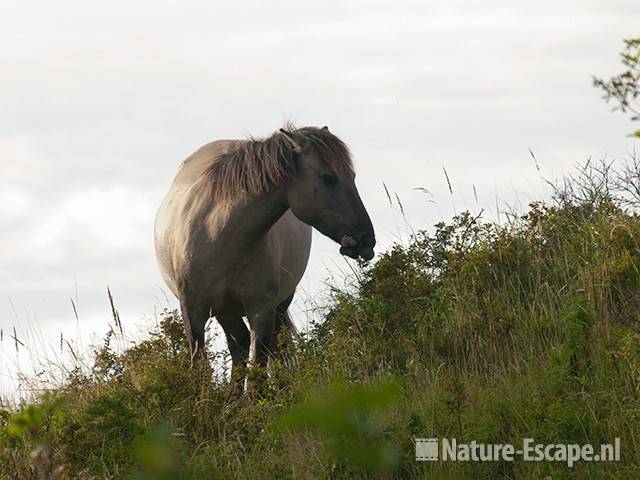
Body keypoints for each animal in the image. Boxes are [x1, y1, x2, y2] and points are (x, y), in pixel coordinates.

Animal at [154, 125, 376, 384]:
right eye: (328, 178)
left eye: (352, 176)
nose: (367, 240)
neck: (220, 235)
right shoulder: (193, 311)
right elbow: (200, 368)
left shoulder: (261, 311)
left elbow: (258, 371)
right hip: (225, 311)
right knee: (238, 347)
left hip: (274, 307)